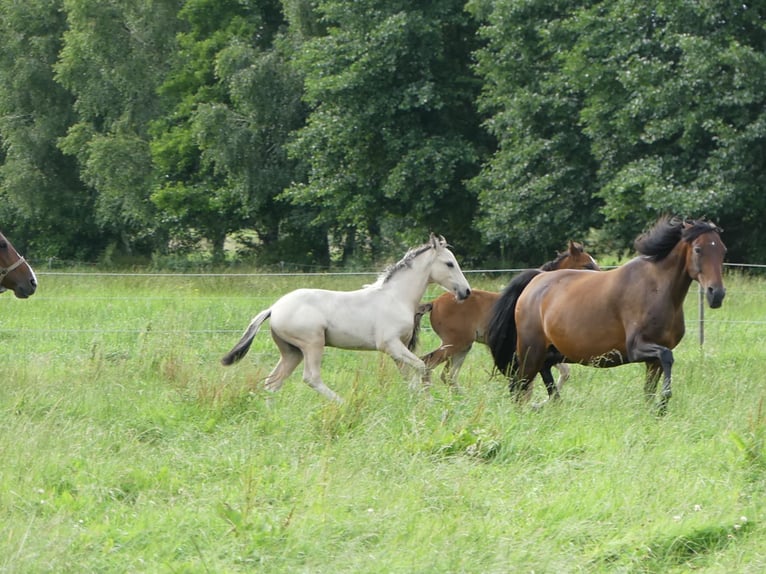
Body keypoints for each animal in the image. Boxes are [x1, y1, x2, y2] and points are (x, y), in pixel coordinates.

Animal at [220, 234, 474, 404]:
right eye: (449, 263)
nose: (466, 292)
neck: (396, 297)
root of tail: (273, 308)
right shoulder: (390, 345)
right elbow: (422, 367)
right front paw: (427, 402)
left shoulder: (398, 349)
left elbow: (409, 376)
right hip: (312, 344)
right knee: (311, 378)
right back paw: (343, 403)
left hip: (291, 352)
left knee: (273, 382)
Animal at [414, 241, 600, 390]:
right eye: (587, 265)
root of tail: (434, 302)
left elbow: (564, 372)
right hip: (454, 343)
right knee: (428, 364)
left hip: (463, 346)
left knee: (447, 375)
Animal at [488, 217, 728, 414]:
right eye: (698, 249)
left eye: (723, 250)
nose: (716, 294)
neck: (657, 289)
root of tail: (535, 281)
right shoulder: (637, 348)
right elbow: (667, 356)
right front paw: (664, 403)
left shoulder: (653, 361)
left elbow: (650, 388)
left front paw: (656, 409)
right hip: (531, 351)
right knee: (519, 386)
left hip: (551, 352)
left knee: (543, 375)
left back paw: (554, 404)